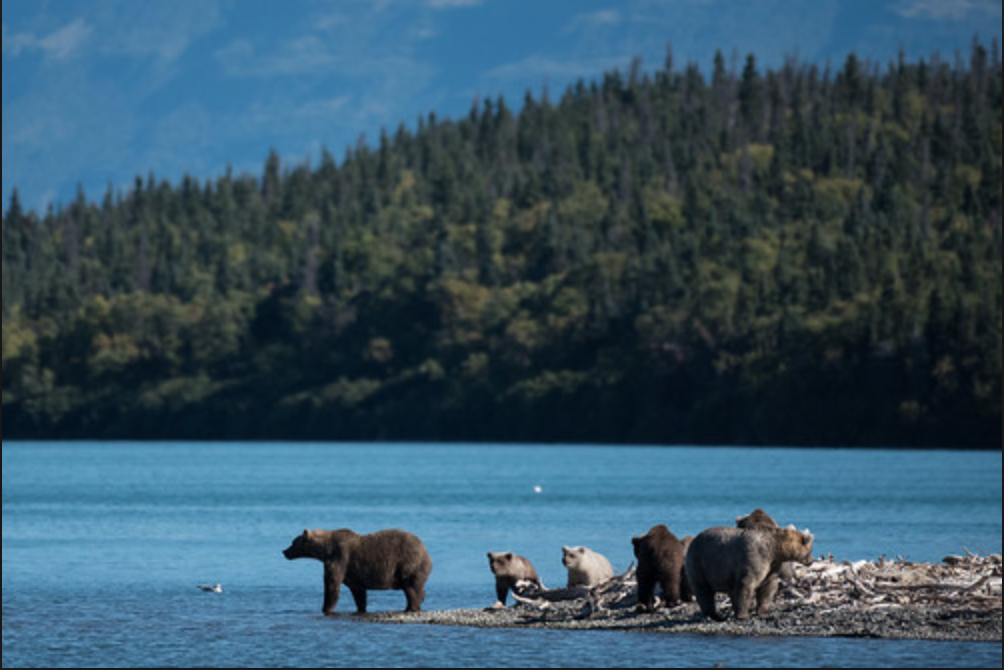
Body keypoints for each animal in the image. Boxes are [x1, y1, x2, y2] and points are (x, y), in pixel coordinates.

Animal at [283, 530, 431, 618]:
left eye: (293, 542)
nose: (284, 551)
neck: (325, 550)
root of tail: (426, 551)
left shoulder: (339, 558)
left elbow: (332, 585)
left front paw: (326, 608)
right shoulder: (354, 574)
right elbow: (358, 592)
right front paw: (361, 608)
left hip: (409, 563)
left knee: (411, 587)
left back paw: (411, 607)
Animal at [682, 522, 815, 622]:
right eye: (810, 549)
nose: (811, 561)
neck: (774, 549)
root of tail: (694, 539)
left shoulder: (771, 566)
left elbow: (768, 587)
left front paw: (763, 610)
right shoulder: (754, 556)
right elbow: (746, 584)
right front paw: (743, 615)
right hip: (699, 562)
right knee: (703, 590)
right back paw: (714, 615)